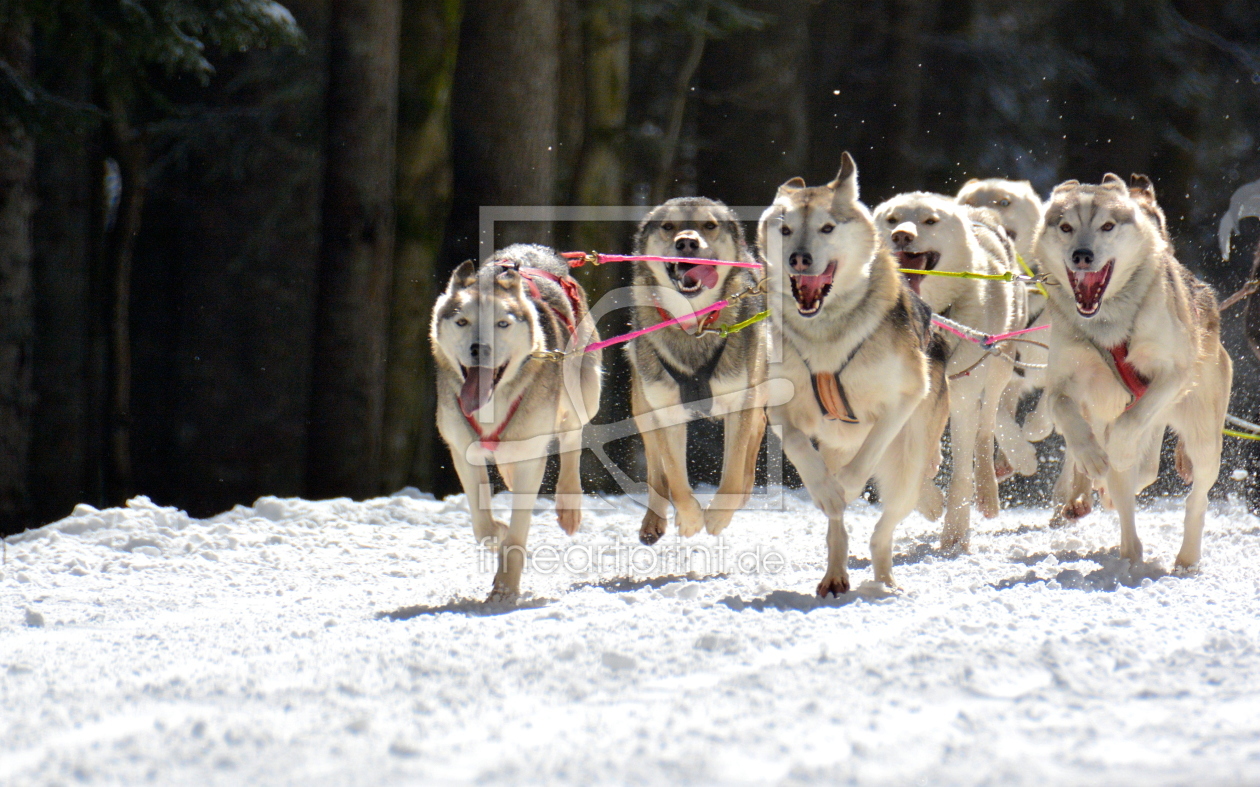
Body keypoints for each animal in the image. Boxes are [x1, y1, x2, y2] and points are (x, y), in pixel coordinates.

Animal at [430, 243, 602, 599]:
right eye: (462, 321)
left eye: (502, 324)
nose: (479, 348)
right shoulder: (463, 449)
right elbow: (483, 525)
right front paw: (498, 533)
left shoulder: (531, 456)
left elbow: (519, 530)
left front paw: (506, 585)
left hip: (583, 389)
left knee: (572, 433)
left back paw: (568, 502)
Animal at [627, 195, 766, 546]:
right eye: (668, 226)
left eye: (709, 225)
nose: (687, 242)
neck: (694, 326)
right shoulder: (666, 411)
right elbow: (675, 478)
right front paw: (690, 518)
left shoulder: (740, 401)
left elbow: (732, 473)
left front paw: (717, 515)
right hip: (642, 407)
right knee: (655, 470)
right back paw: (653, 520)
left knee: (757, 430)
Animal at [756, 151, 947, 594]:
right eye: (785, 229)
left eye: (827, 227)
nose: (799, 258)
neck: (827, 333)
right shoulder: (779, 409)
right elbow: (798, 446)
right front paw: (825, 489)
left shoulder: (905, 397)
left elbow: (867, 455)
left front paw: (843, 484)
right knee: (837, 530)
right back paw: (835, 573)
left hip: (908, 467)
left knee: (884, 528)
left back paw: (885, 579)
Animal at [871, 188, 1028, 551]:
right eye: (891, 219)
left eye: (930, 220)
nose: (902, 236)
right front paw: (927, 501)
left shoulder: (964, 395)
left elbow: (961, 471)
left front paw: (955, 531)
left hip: (995, 368)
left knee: (986, 427)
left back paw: (986, 490)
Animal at [1033, 175, 1229, 566]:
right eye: (1066, 227)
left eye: (1107, 226)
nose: (1081, 255)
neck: (1108, 326)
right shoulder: (1062, 384)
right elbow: (1066, 412)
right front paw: (1091, 456)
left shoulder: (1173, 374)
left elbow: (1130, 423)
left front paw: (1118, 450)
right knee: (1125, 500)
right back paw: (1128, 547)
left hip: (1202, 438)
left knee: (1196, 498)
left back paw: (1186, 556)